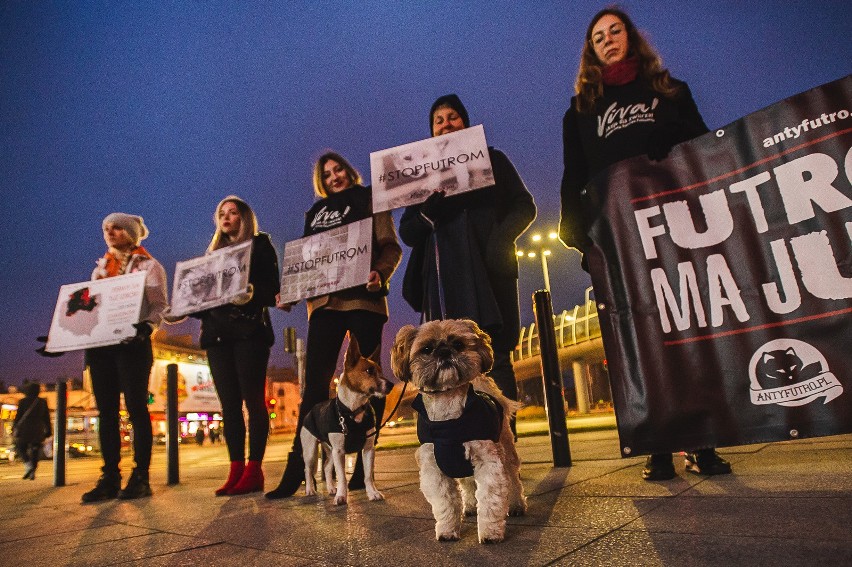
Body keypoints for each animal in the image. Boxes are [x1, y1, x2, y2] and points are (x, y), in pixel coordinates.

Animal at [302, 338, 392, 506]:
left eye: (381, 371)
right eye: (369, 371)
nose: (391, 385)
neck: (353, 410)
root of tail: (311, 410)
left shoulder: (368, 449)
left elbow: (368, 476)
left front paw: (372, 493)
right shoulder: (339, 451)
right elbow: (342, 476)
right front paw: (341, 496)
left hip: (330, 450)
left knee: (326, 467)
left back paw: (331, 488)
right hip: (311, 451)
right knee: (308, 469)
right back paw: (310, 489)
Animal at [392, 318, 524, 544]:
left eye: (459, 345)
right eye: (427, 349)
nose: (445, 351)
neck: (449, 418)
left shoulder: (489, 461)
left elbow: (490, 501)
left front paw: (490, 532)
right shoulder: (434, 469)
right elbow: (446, 503)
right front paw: (447, 529)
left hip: (506, 451)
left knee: (513, 478)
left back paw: (517, 505)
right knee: (467, 483)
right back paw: (470, 506)